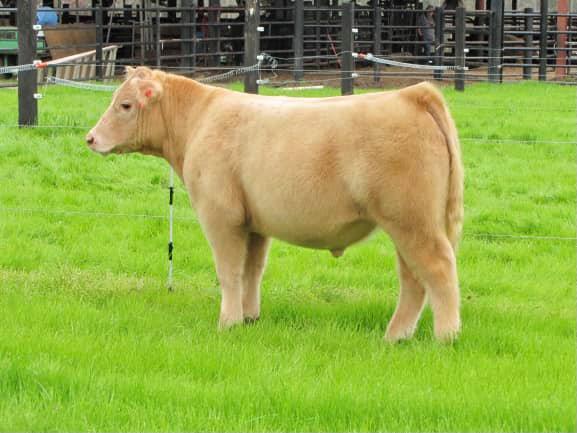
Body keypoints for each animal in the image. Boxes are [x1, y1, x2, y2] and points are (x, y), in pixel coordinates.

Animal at [86, 67, 464, 343]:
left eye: (125, 105)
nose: (90, 138)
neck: (199, 120)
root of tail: (410, 94)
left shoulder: (220, 216)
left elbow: (229, 271)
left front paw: (227, 322)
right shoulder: (254, 223)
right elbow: (252, 269)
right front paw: (249, 317)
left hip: (412, 221)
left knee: (437, 268)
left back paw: (445, 337)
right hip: (408, 224)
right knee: (413, 277)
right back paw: (396, 336)